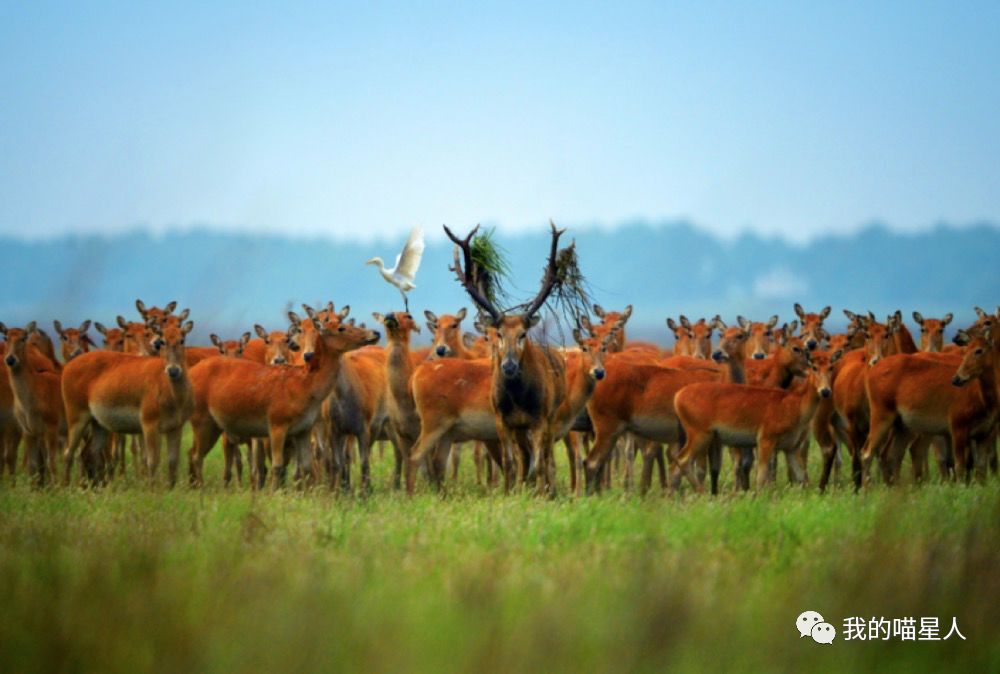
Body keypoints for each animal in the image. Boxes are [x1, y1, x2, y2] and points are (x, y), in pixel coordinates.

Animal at [0, 320, 66, 484]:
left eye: (23, 337)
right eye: (5, 337)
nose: (10, 359)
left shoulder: (52, 427)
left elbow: (51, 462)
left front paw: (56, 486)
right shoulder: (28, 430)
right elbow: (32, 464)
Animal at [63, 318, 196, 484]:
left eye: (182, 340)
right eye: (162, 341)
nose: (173, 370)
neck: (173, 396)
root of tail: (67, 367)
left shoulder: (175, 427)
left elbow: (172, 462)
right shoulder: (149, 425)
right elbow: (152, 461)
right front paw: (152, 488)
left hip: (98, 424)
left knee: (90, 453)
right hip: (76, 418)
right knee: (69, 453)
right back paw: (66, 485)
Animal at [188, 306, 378, 488]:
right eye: (341, 327)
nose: (374, 333)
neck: (306, 388)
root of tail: (190, 372)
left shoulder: (303, 429)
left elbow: (307, 467)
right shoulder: (276, 422)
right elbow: (277, 465)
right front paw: (274, 493)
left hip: (214, 424)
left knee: (194, 453)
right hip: (200, 418)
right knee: (196, 455)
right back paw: (201, 491)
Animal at [668, 344, 840, 490]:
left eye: (831, 367)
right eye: (814, 367)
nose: (825, 391)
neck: (795, 404)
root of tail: (678, 396)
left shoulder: (790, 448)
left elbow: (802, 479)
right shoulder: (765, 440)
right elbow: (761, 476)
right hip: (699, 434)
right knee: (682, 459)